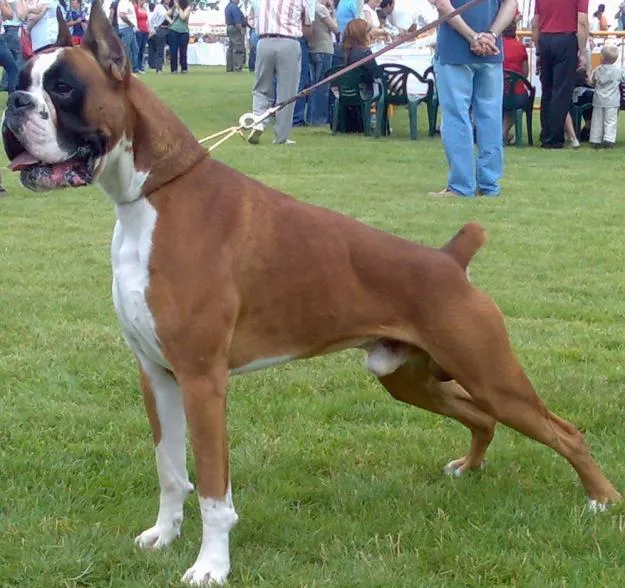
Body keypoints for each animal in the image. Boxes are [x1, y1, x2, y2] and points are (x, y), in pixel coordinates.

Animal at [3, 2, 620, 584]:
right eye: (26, 78)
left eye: (63, 87)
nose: (15, 103)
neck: (151, 196)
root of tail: (450, 258)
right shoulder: (156, 375)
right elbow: (170, 470)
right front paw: (164, 535)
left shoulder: (203, 380)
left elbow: (213, 489)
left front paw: (211, 565)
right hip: (409, 379)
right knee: (482, 419)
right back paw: (470, 469)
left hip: (491, 374)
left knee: (564, 431)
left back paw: (601, 500)